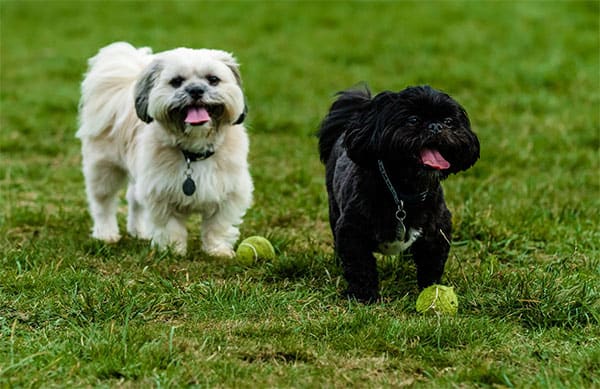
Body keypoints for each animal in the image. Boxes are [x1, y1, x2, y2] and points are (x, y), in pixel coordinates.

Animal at [76, 42, 252, 256]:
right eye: (176, 81)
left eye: (213, 80)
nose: (195, 90)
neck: (192, 152)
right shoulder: (161, 193)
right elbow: (170, 226)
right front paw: (173, 250)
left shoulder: (230, 193)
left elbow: (218, 225)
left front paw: (218, 251)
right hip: (104, 168)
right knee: (103, 203)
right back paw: (106, 234)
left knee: (134, 200)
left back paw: (140, 231)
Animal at [318, 85, 478, 302]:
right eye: (413, 120)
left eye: (448, 121)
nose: (436, 126)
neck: (404, 194)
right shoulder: (352, 230)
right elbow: (360, 266)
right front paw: (363, 295)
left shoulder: (437, 232)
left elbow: (432, 265)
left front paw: (431, 290)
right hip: (334, 207)